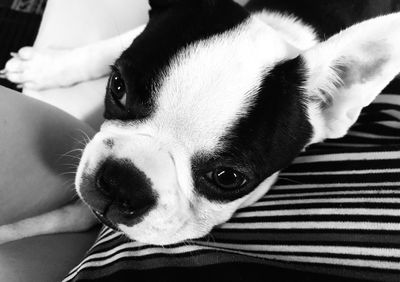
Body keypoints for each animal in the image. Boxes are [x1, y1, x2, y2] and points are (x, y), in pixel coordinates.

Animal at [0, 0, 400, 246]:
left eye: (227, 178)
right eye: (118, 88)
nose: (122, 183)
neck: (282, 30)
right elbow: (104, 49)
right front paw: (48, 67)